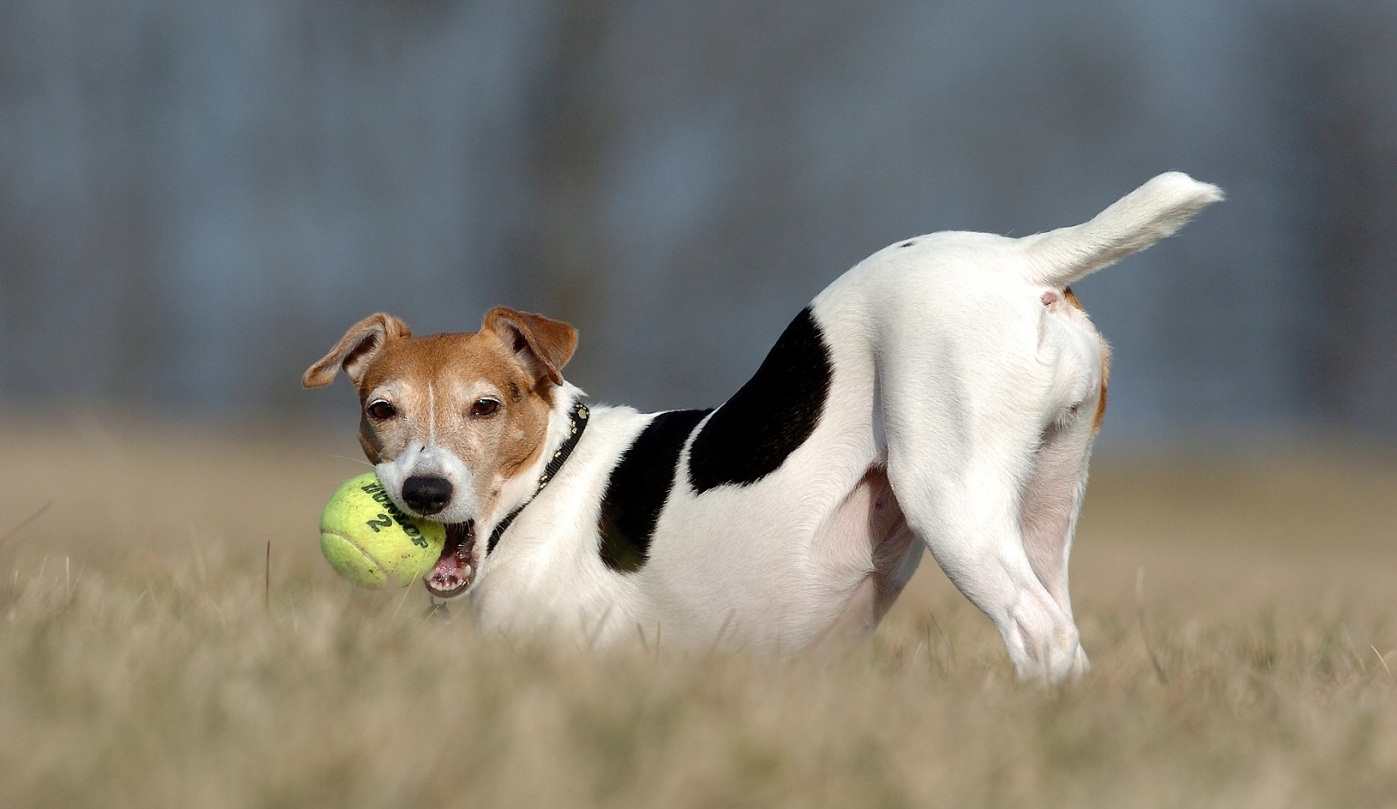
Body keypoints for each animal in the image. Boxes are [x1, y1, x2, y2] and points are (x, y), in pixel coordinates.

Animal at [300, 171, 1218, 684]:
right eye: (380, 409)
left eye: (486, 406)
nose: (424, 491)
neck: (544, 483)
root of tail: (1024, 259)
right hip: (1042, 508)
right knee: (1061, 629)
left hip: (949, 498)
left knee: (1039, 633)